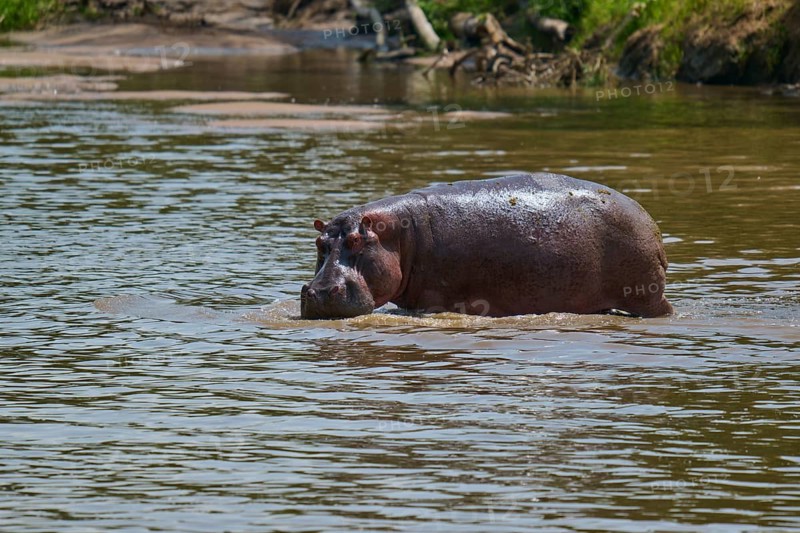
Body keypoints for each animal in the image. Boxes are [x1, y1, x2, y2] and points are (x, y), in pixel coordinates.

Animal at [300, 173, 673, 319]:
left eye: (356, 241)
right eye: (318, 243)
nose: (318, 292)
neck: (397, 233)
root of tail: (648, 220)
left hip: (647, 297)